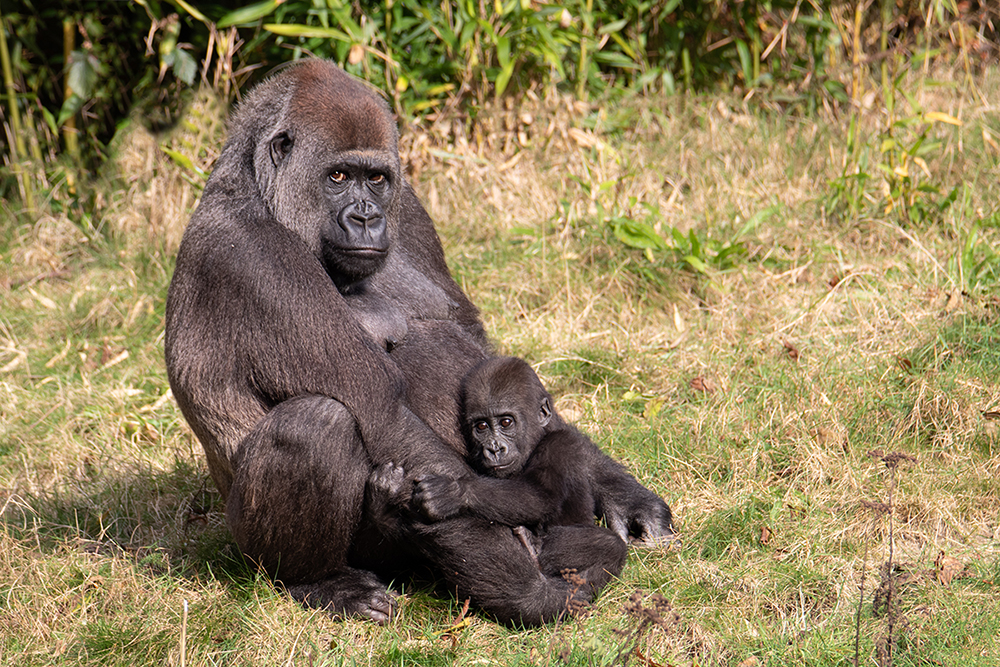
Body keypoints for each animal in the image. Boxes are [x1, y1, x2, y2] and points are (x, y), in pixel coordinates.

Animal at [412, 358, 624, 592]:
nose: (494, 449)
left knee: (612, 545)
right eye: (481, 426)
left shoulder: (560, 444)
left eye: (506, 422)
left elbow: (541, 495)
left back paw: (535, 548)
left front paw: (455, 492)